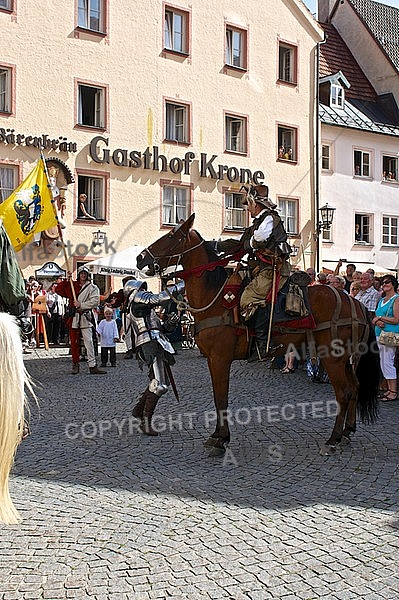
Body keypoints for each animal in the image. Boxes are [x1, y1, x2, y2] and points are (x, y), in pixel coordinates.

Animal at [138, 213, 378, 452]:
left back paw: (333, 439)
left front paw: (221, 439)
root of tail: (356, 304)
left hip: (332, 357)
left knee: (343, 393)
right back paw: (346, 432)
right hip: (346, 359)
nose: (141, 258)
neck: (214, 296)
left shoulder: (220, 359)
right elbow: (218, 397)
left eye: (171, 236)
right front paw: (218, 435)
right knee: (354, 388)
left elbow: (221, 398)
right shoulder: (212, 360)